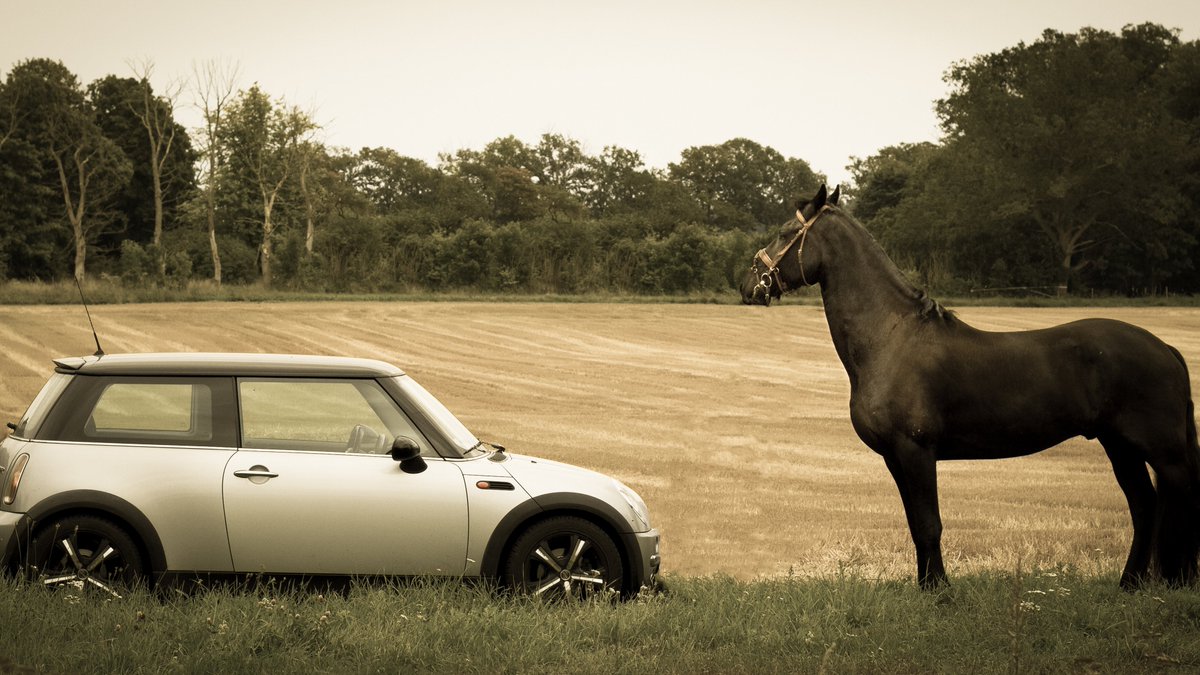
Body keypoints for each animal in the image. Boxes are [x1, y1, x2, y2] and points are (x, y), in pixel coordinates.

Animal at [740, 184, 1200, 590]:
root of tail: (1166, 349)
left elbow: (929, 525)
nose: (749, 285)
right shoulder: (895, 457)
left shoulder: (916, 450)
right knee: (1145, 508)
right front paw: (926, 588)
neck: (891, 338)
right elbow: (915, 525)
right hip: (1119, 446)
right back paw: (1128, 587)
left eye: (785, 232)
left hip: (1163, 453)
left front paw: (940, 593)